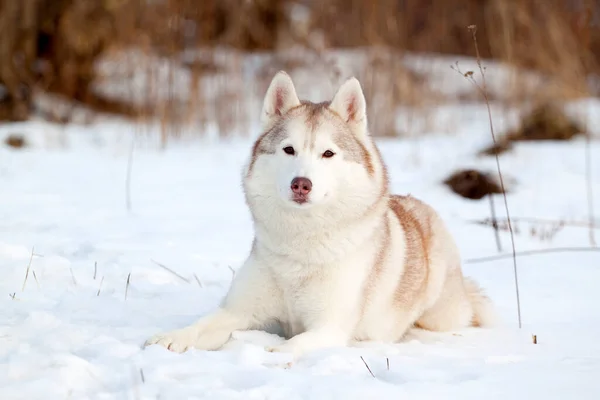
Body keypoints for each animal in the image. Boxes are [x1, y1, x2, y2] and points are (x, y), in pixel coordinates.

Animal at [145, 70, 496, 358]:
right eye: (289, 150)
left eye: (328, 153)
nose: (301, 184)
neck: (301, 247)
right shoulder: (238, 311)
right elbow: (202, 324)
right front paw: (171, 338)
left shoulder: (329, 327)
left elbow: (289, 346)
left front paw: (270, 357)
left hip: (442, 313)